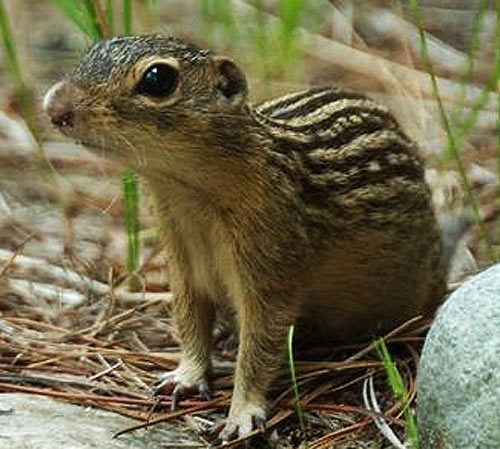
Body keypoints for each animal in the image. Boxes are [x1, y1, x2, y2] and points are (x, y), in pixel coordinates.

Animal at [45, 35, 448, 440]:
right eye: (93, 50)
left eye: (158, 79)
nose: (54, 107)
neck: (188, 194)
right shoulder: (184, 266)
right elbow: (190, 325)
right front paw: (186, 376)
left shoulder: (271, 270)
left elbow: (258, 349)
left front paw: (241, 413)